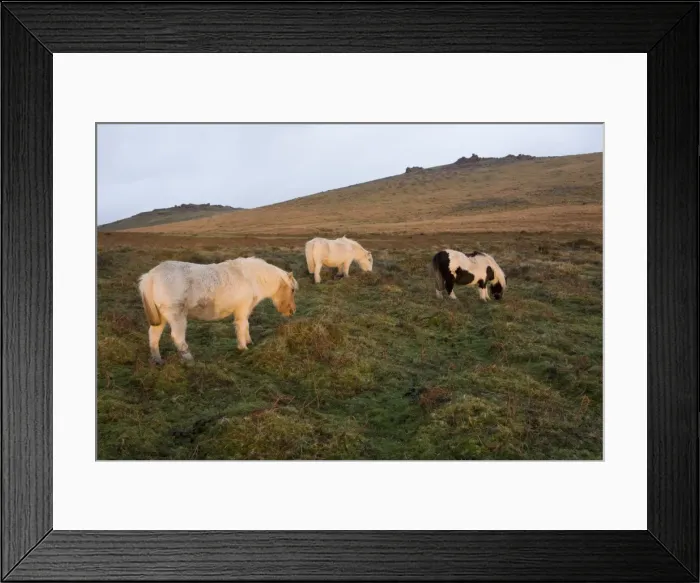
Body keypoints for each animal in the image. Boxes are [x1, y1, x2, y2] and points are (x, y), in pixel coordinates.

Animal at [138, 256, 298, 364]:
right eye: (292, 290)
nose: (292, 311)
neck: (250, 277)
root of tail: (151, 277)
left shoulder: (245, 310)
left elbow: (246, 325)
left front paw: (249, 342)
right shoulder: (241, 309)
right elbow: (242, 326)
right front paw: (243, 347)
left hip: (161, 318)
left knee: (154, 335)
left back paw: (157, 360)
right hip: (177, 317)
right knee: (177, 337)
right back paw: (189, 359)